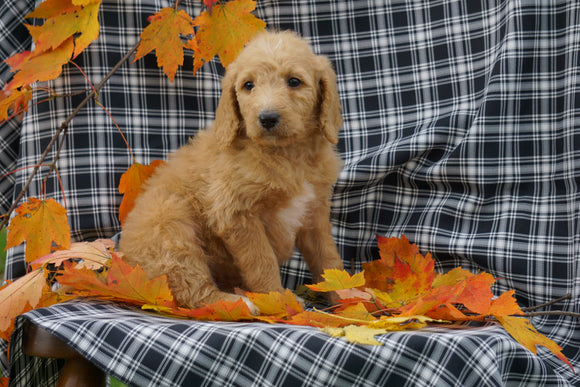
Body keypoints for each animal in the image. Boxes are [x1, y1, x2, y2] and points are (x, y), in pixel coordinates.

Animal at [119, 30, 344, 310]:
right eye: (248, 85)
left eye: (294, 81)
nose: (267, 118)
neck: (288, 157)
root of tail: (124, 265)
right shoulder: (236, 214)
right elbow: (262, 262)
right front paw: (277, 301)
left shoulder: (314, 213)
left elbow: (328, 259)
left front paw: (352, 298)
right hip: (170, 224)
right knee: (191, 288)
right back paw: (241, 302)